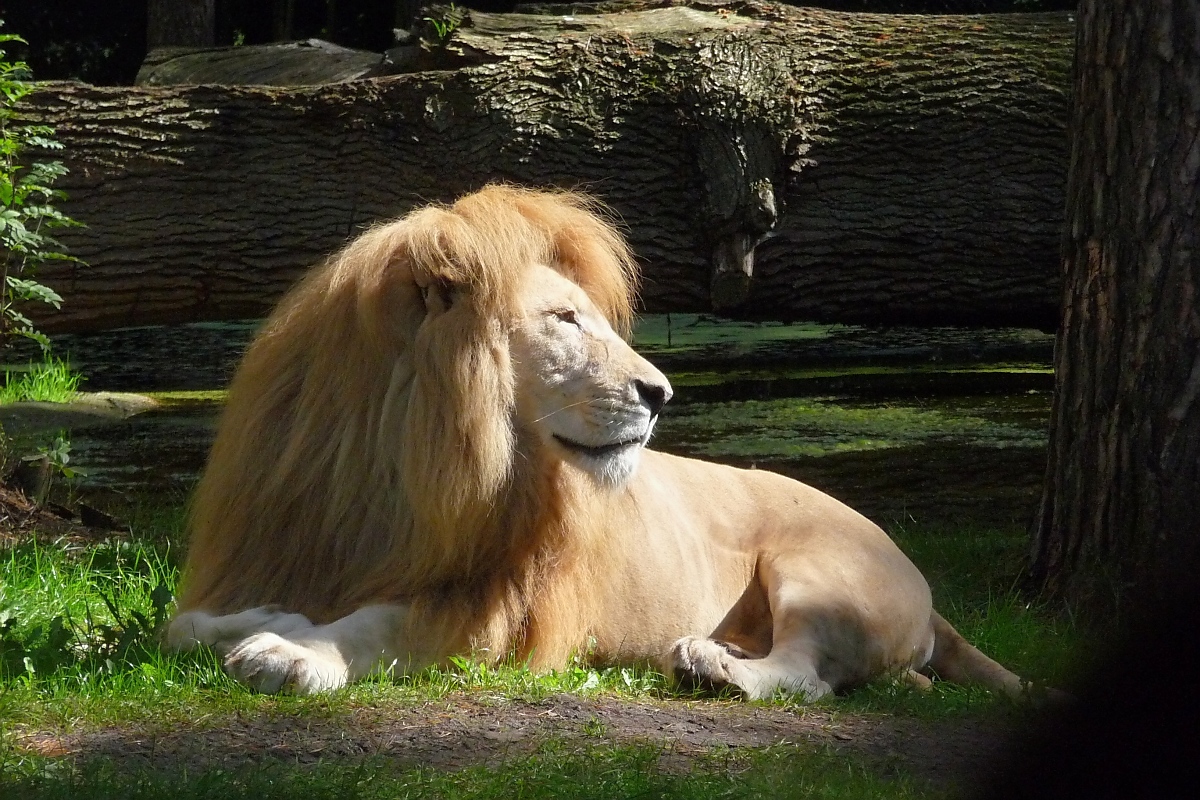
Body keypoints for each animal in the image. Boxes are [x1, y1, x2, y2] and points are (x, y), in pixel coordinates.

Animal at [171, 183, 1041, 700]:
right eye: (565, 320)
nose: (660, 395)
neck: (395, 462)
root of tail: (926, 592)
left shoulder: (499, 610)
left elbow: (378, 624)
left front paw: (292, 654)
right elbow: (185, 622)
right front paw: (247, 622)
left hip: (819, 570)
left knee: (804, 678)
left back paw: (710, 666)